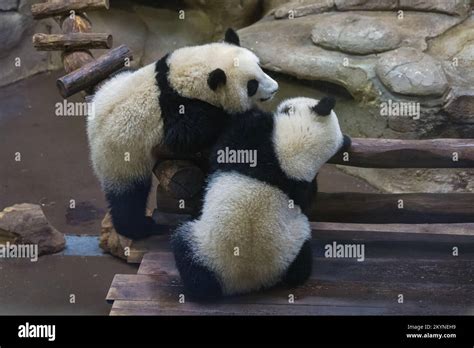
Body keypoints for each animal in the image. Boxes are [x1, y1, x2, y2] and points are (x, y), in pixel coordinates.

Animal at [87, 29, 280, 239]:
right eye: (252, 85)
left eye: (260, 66)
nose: (275, 88)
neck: (176, 77)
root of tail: (91, 135)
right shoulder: (175, 107)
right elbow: (186, 135)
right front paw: (243, 115)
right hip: (120, 156)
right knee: (128, 197)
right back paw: (140, 227)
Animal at [172, 95, 350, 300]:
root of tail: (248, 283)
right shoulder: (300, 184)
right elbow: (307, 198)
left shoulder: (254, 144)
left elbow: (228, 141)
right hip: (293, 247)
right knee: (300, 266)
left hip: (206, 248)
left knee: (188, 256)